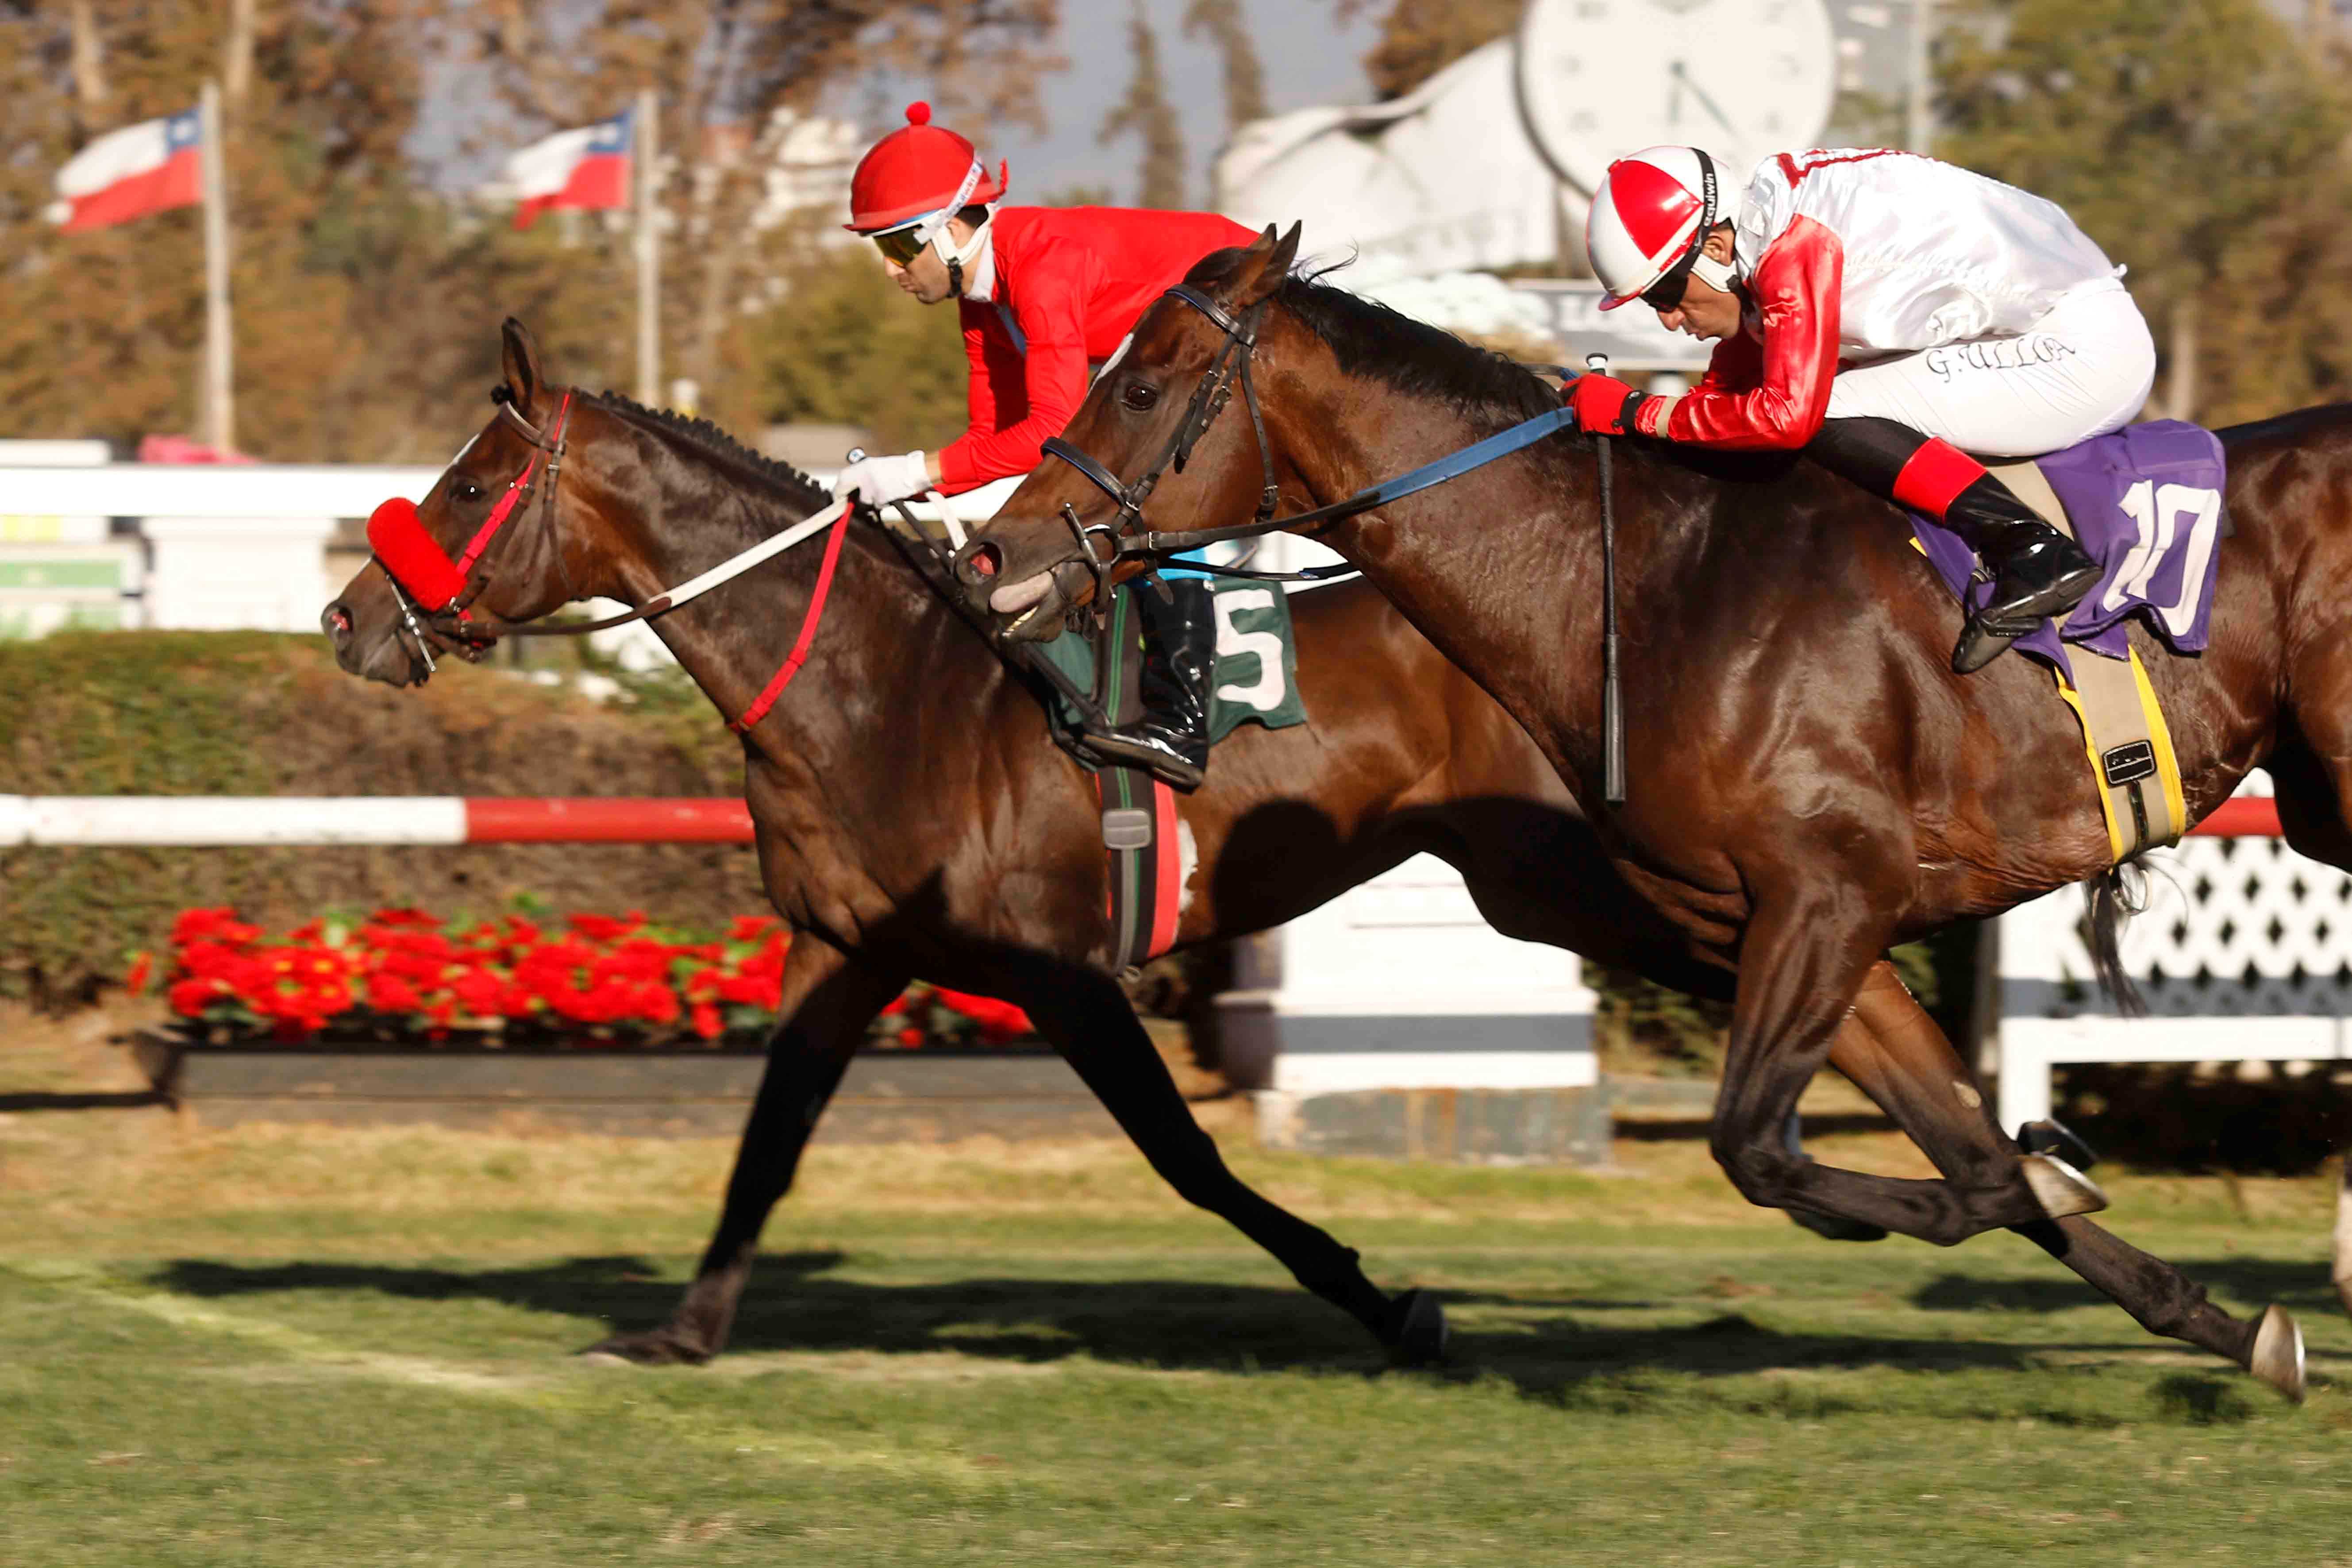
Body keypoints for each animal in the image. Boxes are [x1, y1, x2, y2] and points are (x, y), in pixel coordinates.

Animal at [312, 324, 2201, 1382]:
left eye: (472, 479)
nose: (348, 620)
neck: (876, 686)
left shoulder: (1061, 974)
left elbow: (1193, 1165)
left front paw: (1388, 1303)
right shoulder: (848, 955)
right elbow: (764, 1148)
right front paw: (680, 1330)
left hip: (1630, 882)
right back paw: (2080, 1210)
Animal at [950, 230, 2314, 1401]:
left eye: (1139, 387)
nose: (991, 556)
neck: (1644, 578)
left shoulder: (1832, 894)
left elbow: (1769, 1152)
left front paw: (2056, 1166)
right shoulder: (1798, 926)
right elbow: (1963, 1155)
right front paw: (2217, 1312)